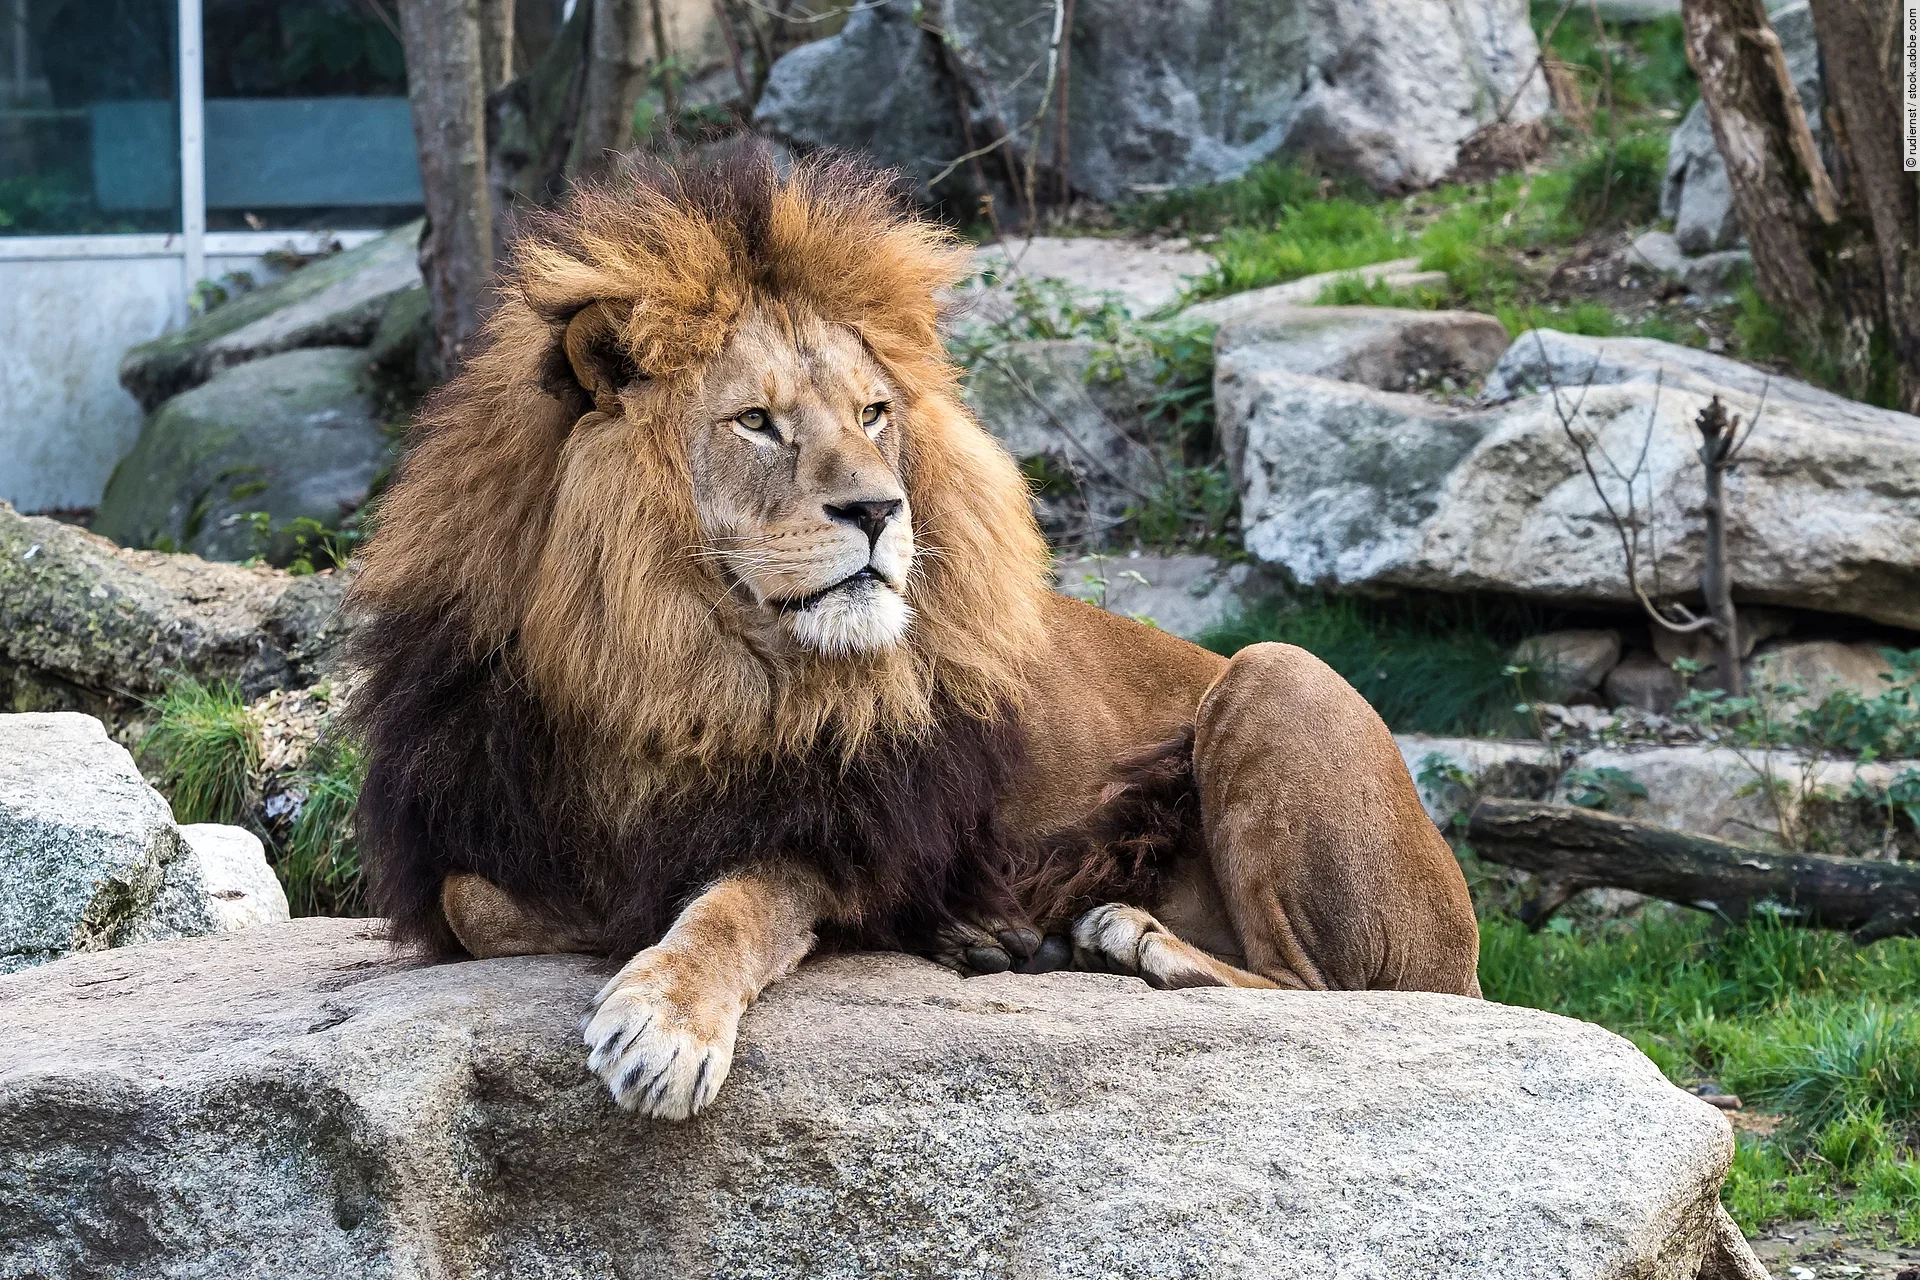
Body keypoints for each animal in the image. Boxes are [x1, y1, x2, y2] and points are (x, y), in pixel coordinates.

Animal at [345, 145, 1480, 1122]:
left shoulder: (840, 833)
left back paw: (1126, 937)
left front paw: (663, 1015)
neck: (669, 663)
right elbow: (477, 900)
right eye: (757, 422)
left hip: (1276, 673)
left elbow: (733, 903)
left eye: (873, 413)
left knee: (1325, 993)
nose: (879, 509)